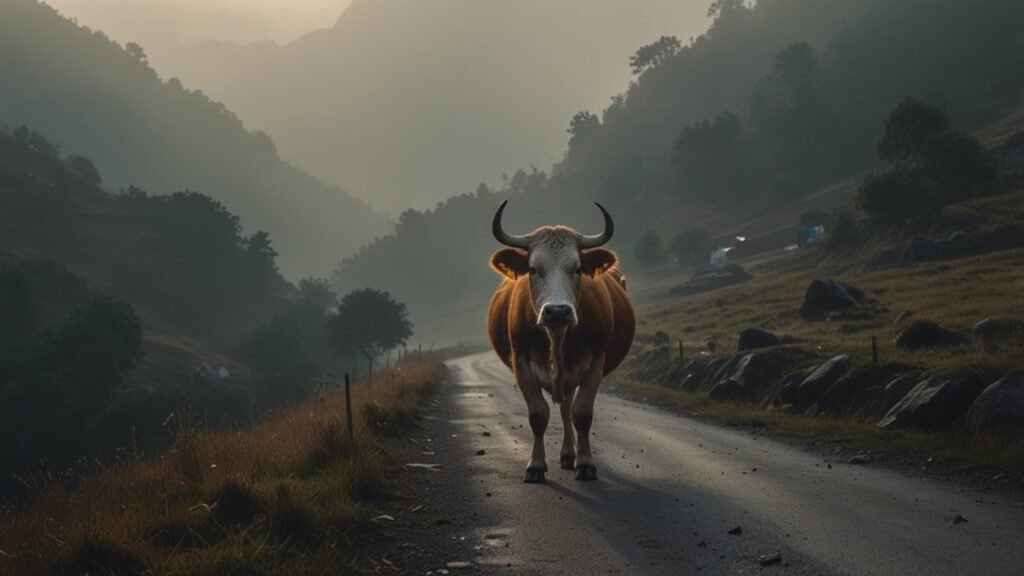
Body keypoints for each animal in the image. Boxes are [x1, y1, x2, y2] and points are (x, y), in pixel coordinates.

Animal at [487, 200, 635, 483]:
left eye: (577, 269)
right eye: (533, 269)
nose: (557, 311)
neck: (555, 338)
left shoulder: (595, 361)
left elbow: (582, 414)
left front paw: (585, 464)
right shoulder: (521, 362)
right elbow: (538, 414)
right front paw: (535, 465)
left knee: (567, 408)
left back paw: (569, 454)